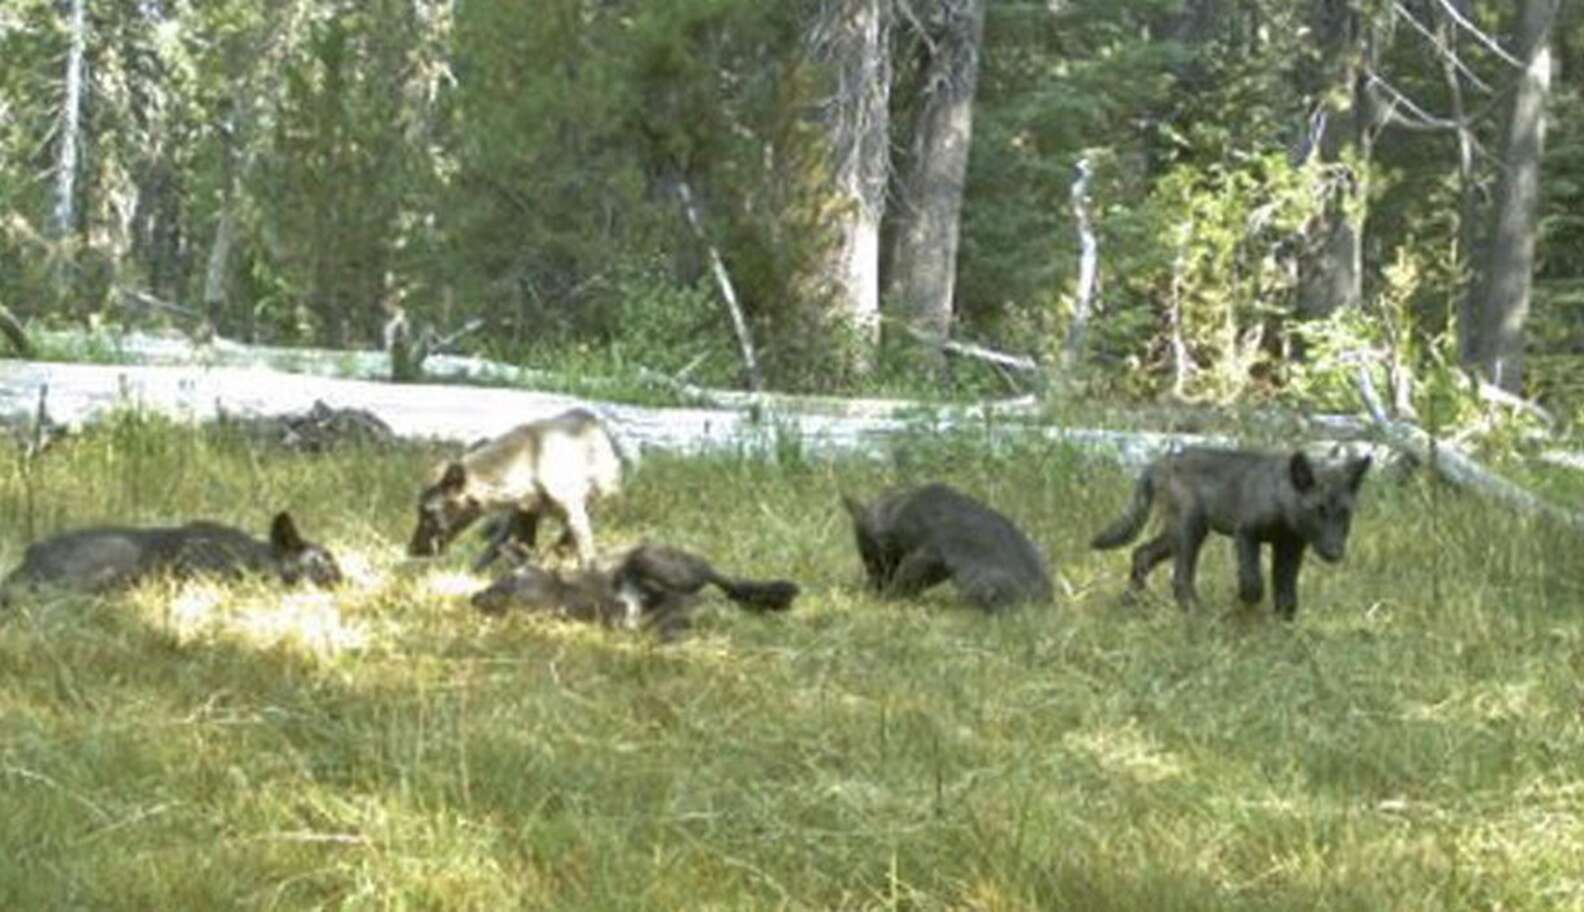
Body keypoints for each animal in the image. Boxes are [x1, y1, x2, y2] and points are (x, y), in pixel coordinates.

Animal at [407, 408, 625, 570]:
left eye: (428, 511)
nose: (412, 550)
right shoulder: (525, 514)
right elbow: (521, 554)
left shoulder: (573, 512)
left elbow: (585, 556)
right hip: (516, 519)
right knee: (496, 544)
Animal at [1091, 447, 1371, 618]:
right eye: (1317, 511)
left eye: (1344, 513)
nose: (1335, 553)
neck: (1281, 500)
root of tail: (1158, 463)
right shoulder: (1245, 533)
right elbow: (1253, 582)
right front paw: (1244, 606)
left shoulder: (1289, 548)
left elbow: (1287, 594)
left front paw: (1283, 627)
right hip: (1189, 530)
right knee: (1179, 577)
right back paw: (1197, 614)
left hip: (1179, 534)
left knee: (1141, 554)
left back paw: (1128, 603)